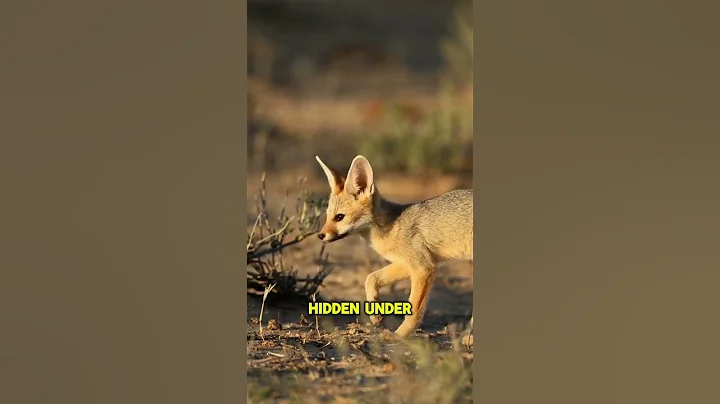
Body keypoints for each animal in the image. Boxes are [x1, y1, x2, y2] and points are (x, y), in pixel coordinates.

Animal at [315, 155, 473, 339]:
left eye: (339, 217)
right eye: (327, 216)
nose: (320, 235)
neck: (392, 226)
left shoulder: (423, 268)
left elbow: (414, 310)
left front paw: (399, 335)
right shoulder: (406, 264)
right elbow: (371, 277)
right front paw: (375, 314)